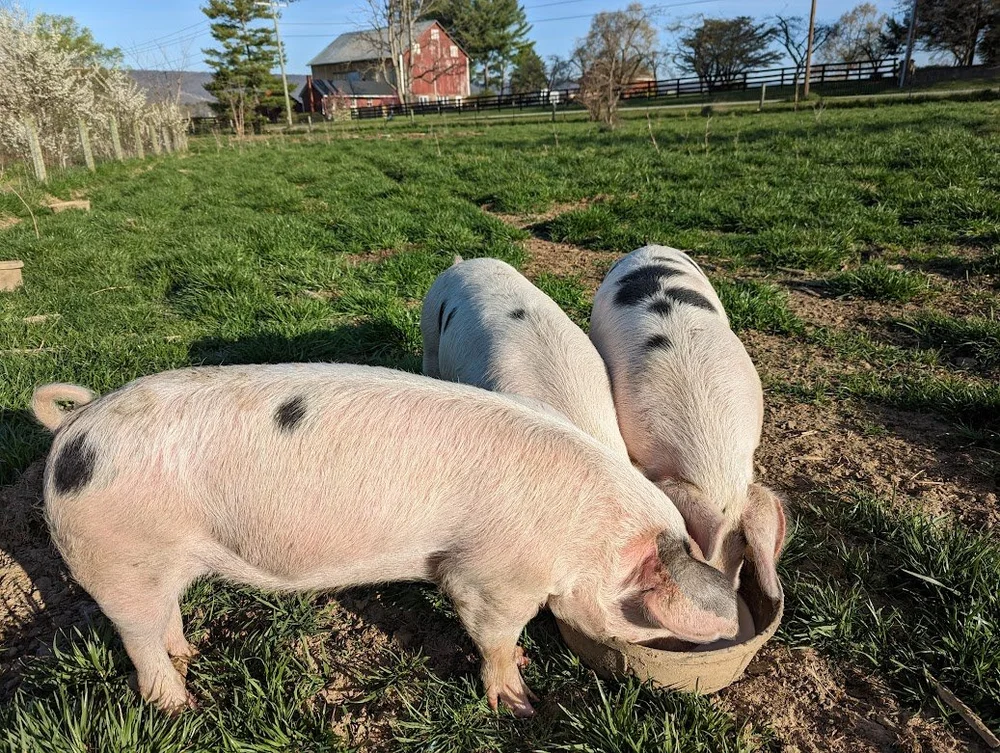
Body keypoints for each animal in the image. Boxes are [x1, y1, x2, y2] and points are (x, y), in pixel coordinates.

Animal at [32, 363, 738, 717]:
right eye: (647, 609)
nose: (726, 624)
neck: (586, 537)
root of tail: (72, 430)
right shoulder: (490, 577)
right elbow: (492, 635)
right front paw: (519, 704)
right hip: (115, 559)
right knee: (136, 640)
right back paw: (181, 709)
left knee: (165, 619)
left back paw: (191, 655)